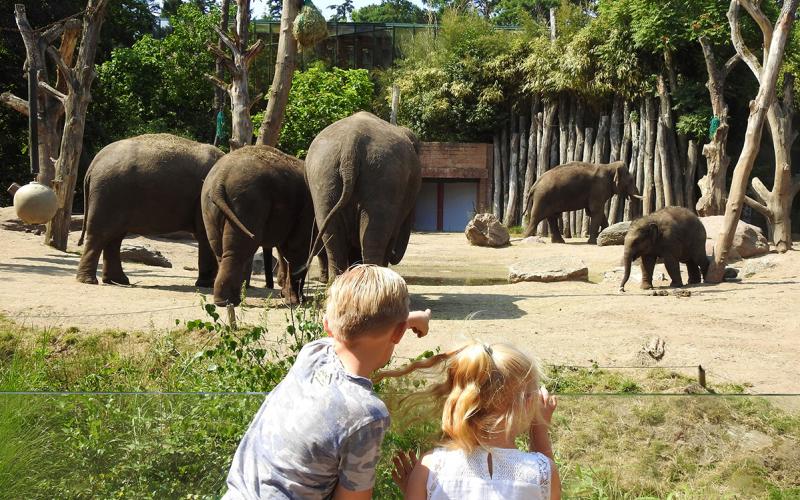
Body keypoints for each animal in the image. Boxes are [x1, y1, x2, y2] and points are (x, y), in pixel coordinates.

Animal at [76, 135, 223, 288]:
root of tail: (94, 163)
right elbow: (205, 235)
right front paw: (207, 285)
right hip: (108, 195)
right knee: (100, 235)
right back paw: (89, 281)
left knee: (114, 237)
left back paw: (118, 280)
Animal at [199, 145, 312, 306]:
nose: (269, 285)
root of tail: (219, 180)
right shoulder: (307, 211)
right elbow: (297, 248)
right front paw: (296, 302)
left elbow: (286, 250)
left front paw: (289, 297)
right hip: (247, 203)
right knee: (240, 249)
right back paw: (228, 301)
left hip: (210, 208)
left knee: (220, 250)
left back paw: (228, 300)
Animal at [304, 111, 422, 280]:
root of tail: (350, 145)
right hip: (382, 175)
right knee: (374, 236)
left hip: (324, 177)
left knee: (332, 235)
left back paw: (336, 283)